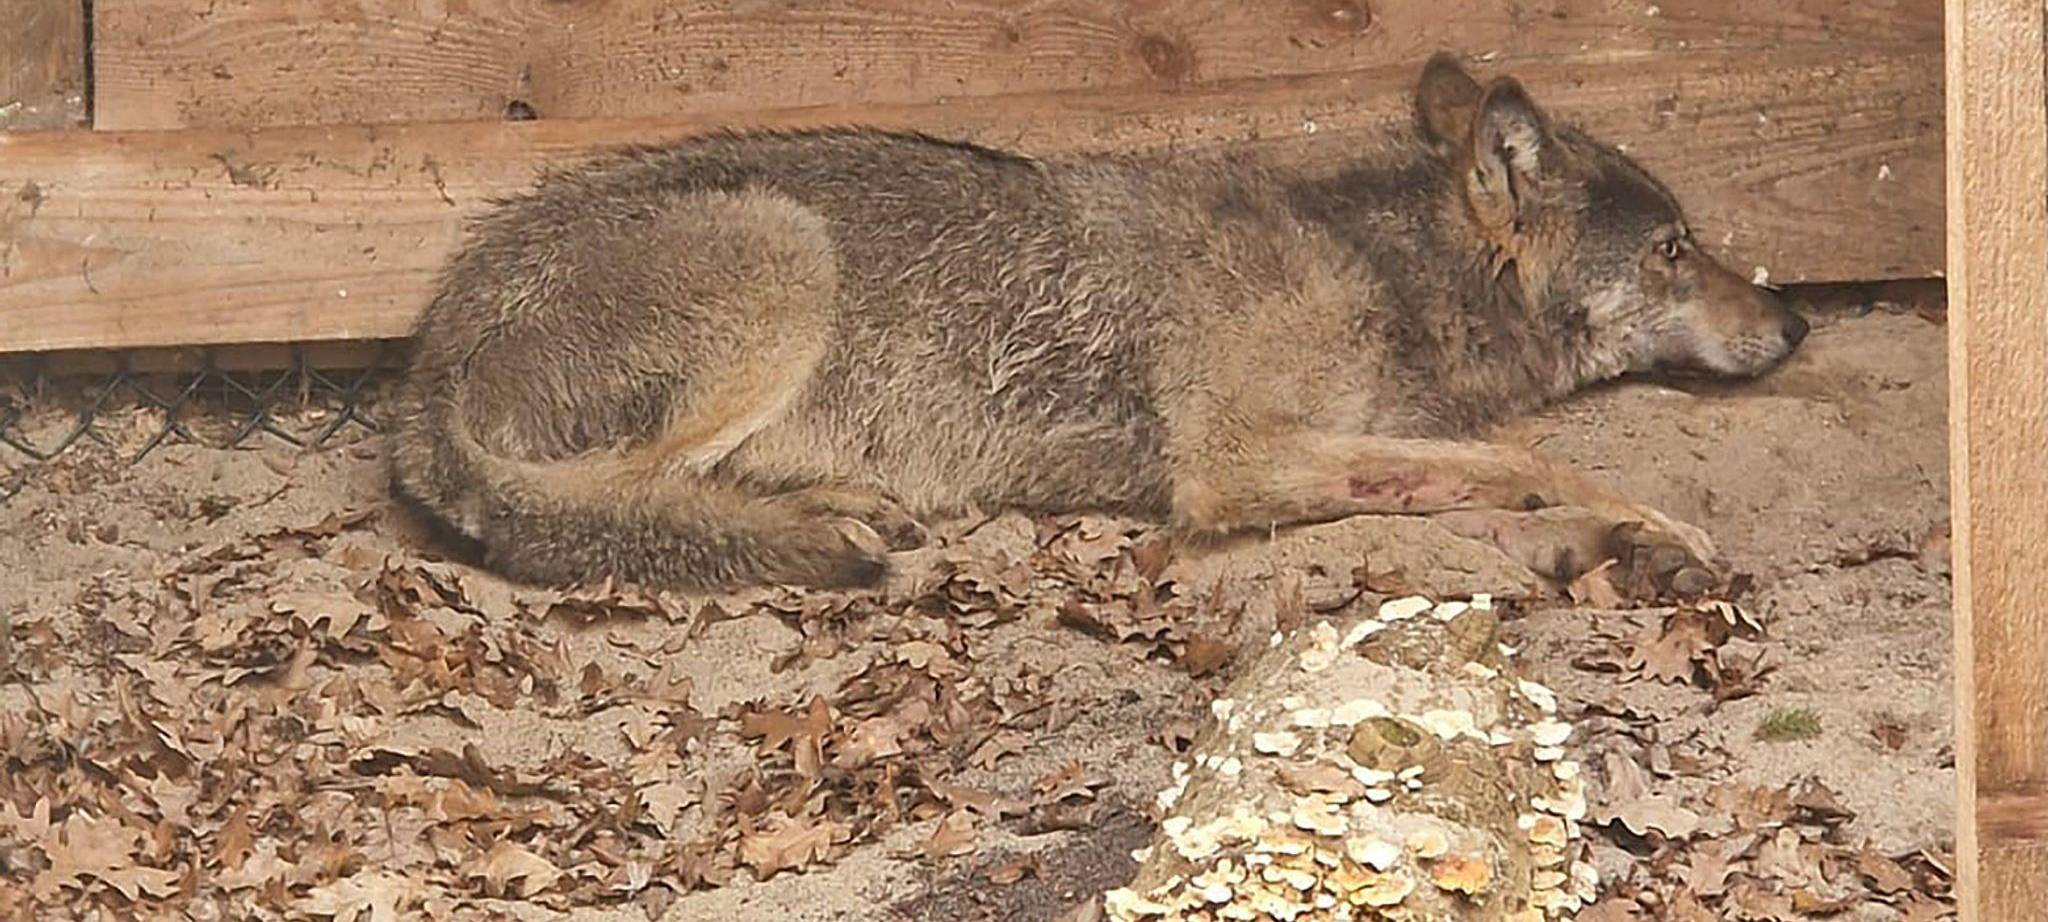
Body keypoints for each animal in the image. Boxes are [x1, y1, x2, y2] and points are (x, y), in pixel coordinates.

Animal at [386, 52, 1809, 592]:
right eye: (1676, 250)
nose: (1795, 321)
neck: (1376, 267)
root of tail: (425, 359)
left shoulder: (1322, 449)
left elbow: (1469, 480)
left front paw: (1583, 538)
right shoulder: (1229, 463)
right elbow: (1530, 459)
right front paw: (1652, 527)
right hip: (784, 255)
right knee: (610, 502)